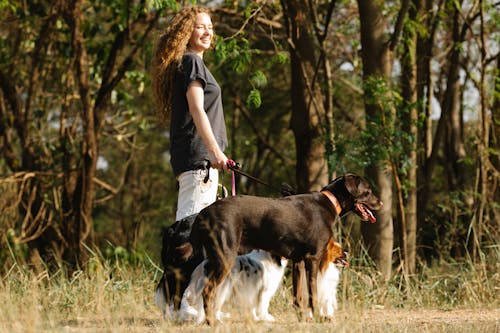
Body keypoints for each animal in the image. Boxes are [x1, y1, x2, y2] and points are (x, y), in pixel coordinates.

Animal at [186, 172, 380, 322]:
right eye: (368, 191)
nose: (381, 203)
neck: (330, 202)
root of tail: (204, 213)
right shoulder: (313, 259)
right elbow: (313, 294)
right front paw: (318, 317)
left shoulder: (298, 261)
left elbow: (298, 296)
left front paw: (303, 319)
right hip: (224, 257)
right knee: (208, 291)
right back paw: (212, 322)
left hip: (211, 258)